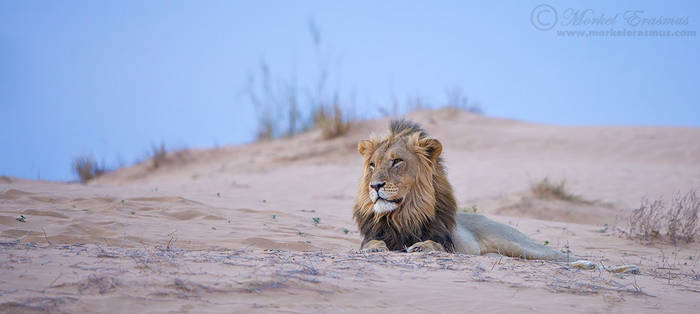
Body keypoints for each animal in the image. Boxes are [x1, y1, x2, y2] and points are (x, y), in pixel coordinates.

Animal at [352, 119, 636, 274]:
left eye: (397, 162)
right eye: (372, 165)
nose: (375, 186)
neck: (403, 215)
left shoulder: (450, 246)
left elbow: (434, 245)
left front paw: (421, 246)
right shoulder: (373, 236)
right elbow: (371, 244)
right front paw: (377, 248)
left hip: (520, 245)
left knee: (566, 257)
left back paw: (618, 267)